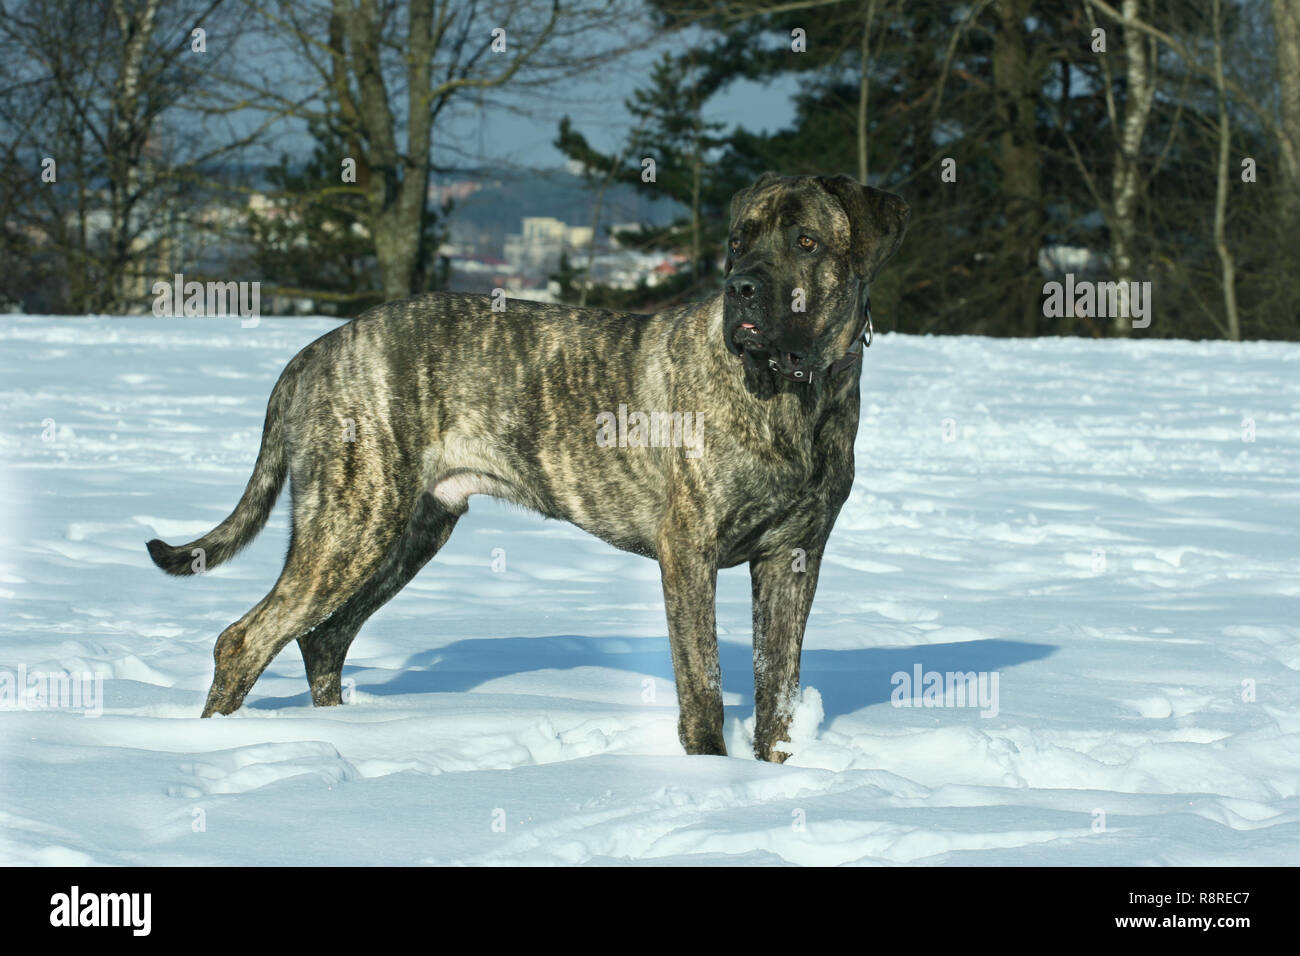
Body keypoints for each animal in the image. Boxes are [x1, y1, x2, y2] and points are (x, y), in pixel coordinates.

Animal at [149, 174, 904, 764]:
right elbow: (704, 689)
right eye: (739, 242)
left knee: (324, 638)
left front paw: (774, 778)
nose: (740, 288)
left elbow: (779, 693)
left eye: (805, 242)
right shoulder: (690, 550)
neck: (800, 392)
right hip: (352, 524)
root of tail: (319, 348)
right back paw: (215, 747)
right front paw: (713, 779)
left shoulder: (794, 557)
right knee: (246, 640)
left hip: (411, 531)